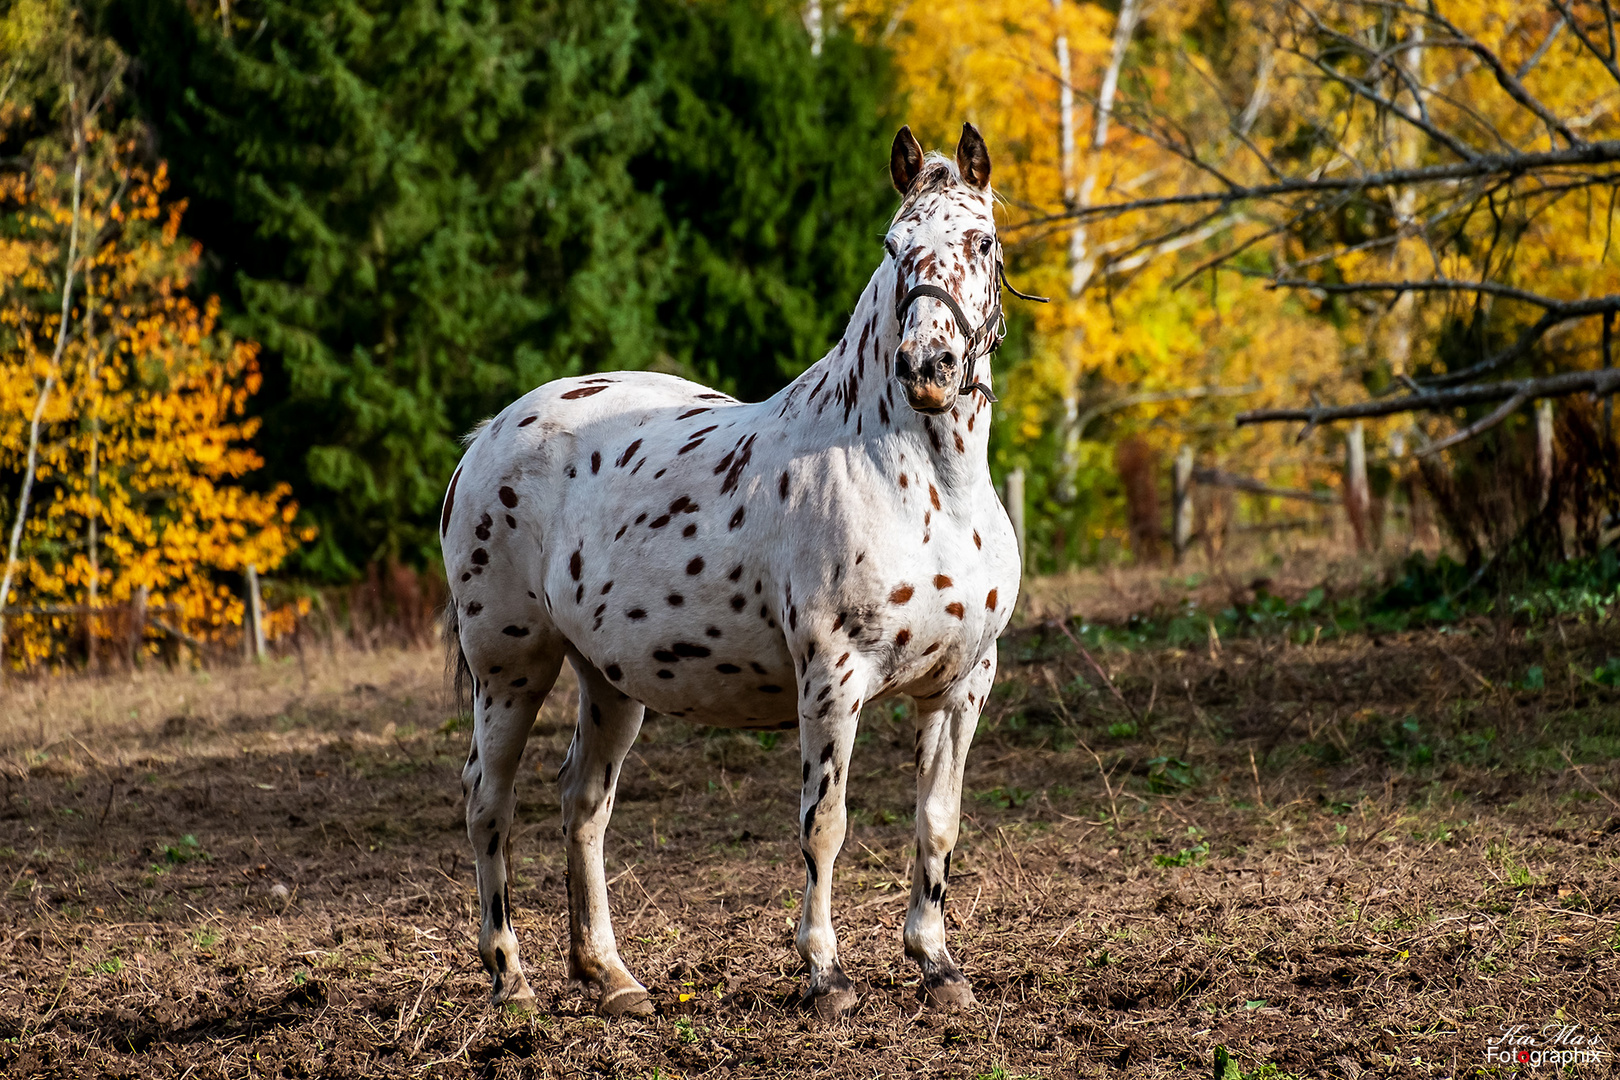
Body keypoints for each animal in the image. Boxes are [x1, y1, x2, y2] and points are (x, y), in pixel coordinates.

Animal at [437, 122, 1043, 1016]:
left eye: (984, 240)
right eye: (893, 246)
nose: (926, 369)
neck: (925, 486)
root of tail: (489, 435)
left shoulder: (964, 685)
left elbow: (937, 823)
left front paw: (938, 967)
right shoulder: (833, 679)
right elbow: (824, 825)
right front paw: (826, 976)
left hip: (607, 681)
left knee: (583, 804)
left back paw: (612, 978)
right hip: (509, 667)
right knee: (488, 799)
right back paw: (510, 977)